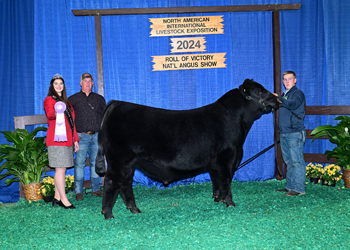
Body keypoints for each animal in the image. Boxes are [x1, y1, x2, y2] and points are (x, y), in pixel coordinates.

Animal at [94, 79, 280, 220]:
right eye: (259, 91)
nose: (277, 100)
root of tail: (116, 104)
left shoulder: (215, 164)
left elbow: (217, 181)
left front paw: (217, 200)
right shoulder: (227, 159)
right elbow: (226, 182)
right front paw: (230, 204)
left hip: (130, 164)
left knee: (125, 185)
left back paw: (135, 210)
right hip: (119, 160)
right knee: (111, 182)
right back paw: (108, 215)